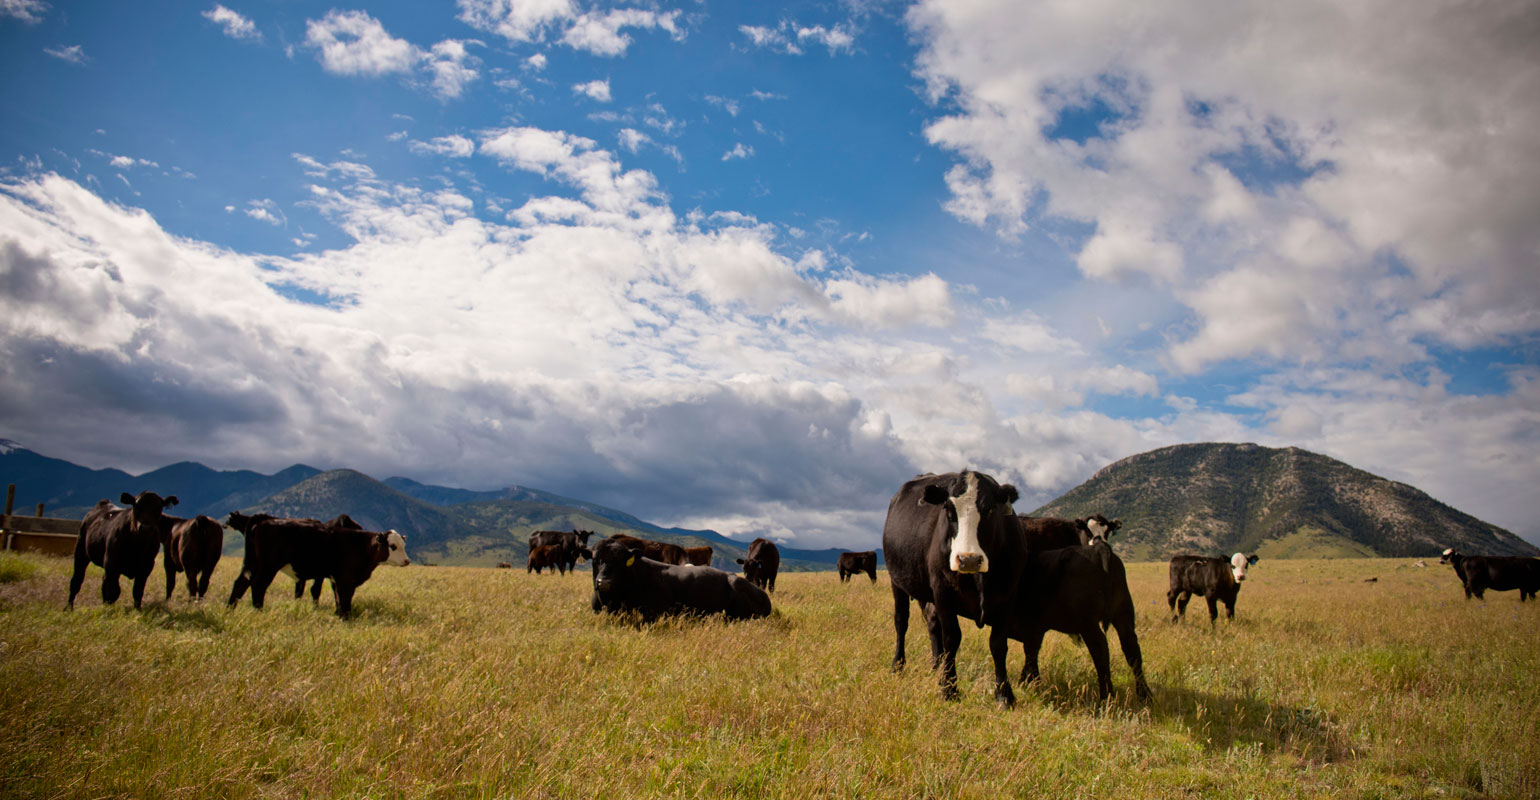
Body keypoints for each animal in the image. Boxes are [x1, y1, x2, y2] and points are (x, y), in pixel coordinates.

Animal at [887, 471, 1028, 705]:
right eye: (949, 511)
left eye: (990, 510)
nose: (968, 559)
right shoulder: (943, 592)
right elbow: (952, 638)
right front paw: (949, 688)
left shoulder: (1009, 593)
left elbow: (998, 644)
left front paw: (1004, 694)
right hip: (897, 582)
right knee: (901, 622)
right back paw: (898, 665)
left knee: (932, 623)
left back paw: (936, 665)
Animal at [1004, 545, 1151, 702]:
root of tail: (1098, 549)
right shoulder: (1035, 631)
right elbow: (1031, 655)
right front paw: (1027, 682)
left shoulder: (1032, 629)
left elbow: (1030, 655)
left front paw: (1027, 683)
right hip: (1123, 616)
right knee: (1132, 649)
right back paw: (1145, 695)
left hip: (1088, 624)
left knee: (1100, 649)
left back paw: (1107, 696)